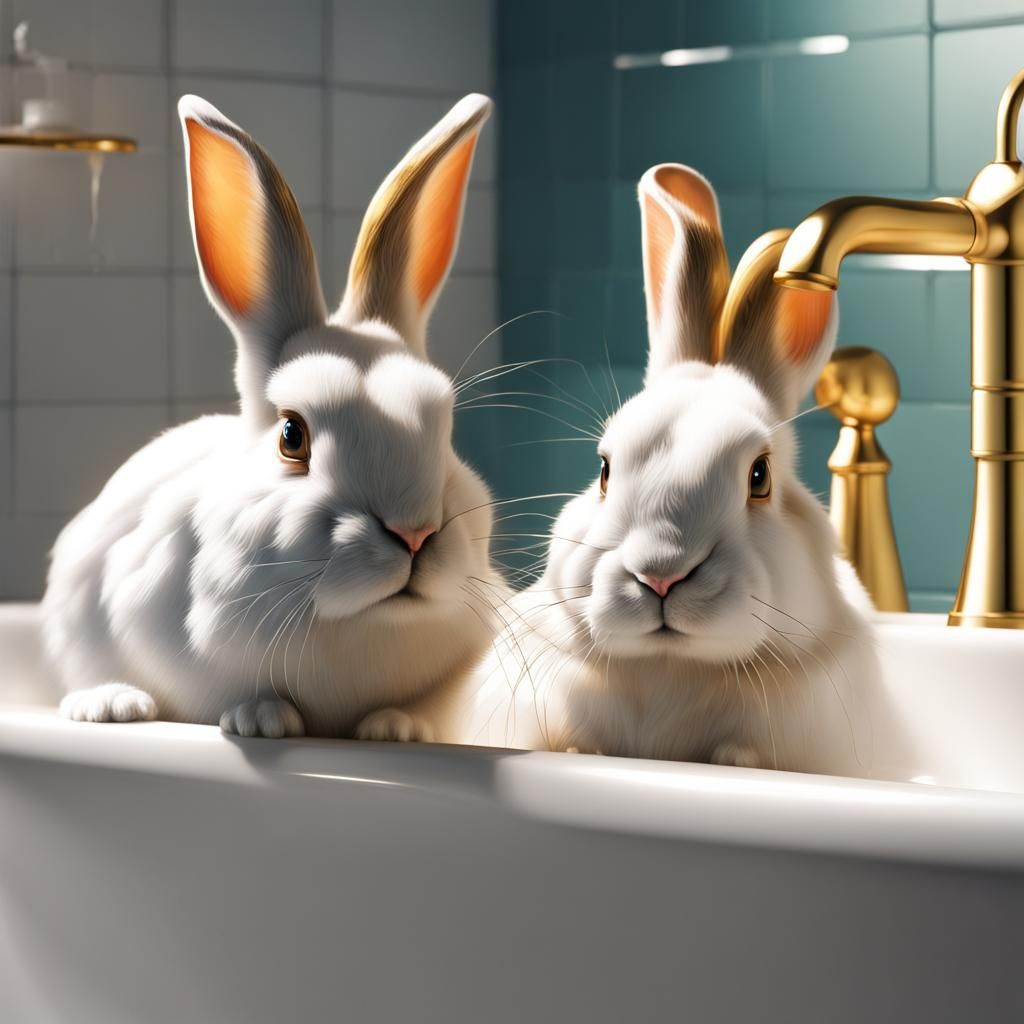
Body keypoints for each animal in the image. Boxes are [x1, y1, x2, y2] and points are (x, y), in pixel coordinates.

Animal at [44, 92, 504, 742]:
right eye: (292, 435)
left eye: (447, 432)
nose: (413, 533)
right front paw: (262, 719)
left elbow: (425, 704)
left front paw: (398, 726)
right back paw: (112, 704)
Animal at [463, 164, 882, 775]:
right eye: (604, 469)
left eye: (760, 477)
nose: (660, 575)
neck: (667, 667)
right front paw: (579, 749)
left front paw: (735, 761)